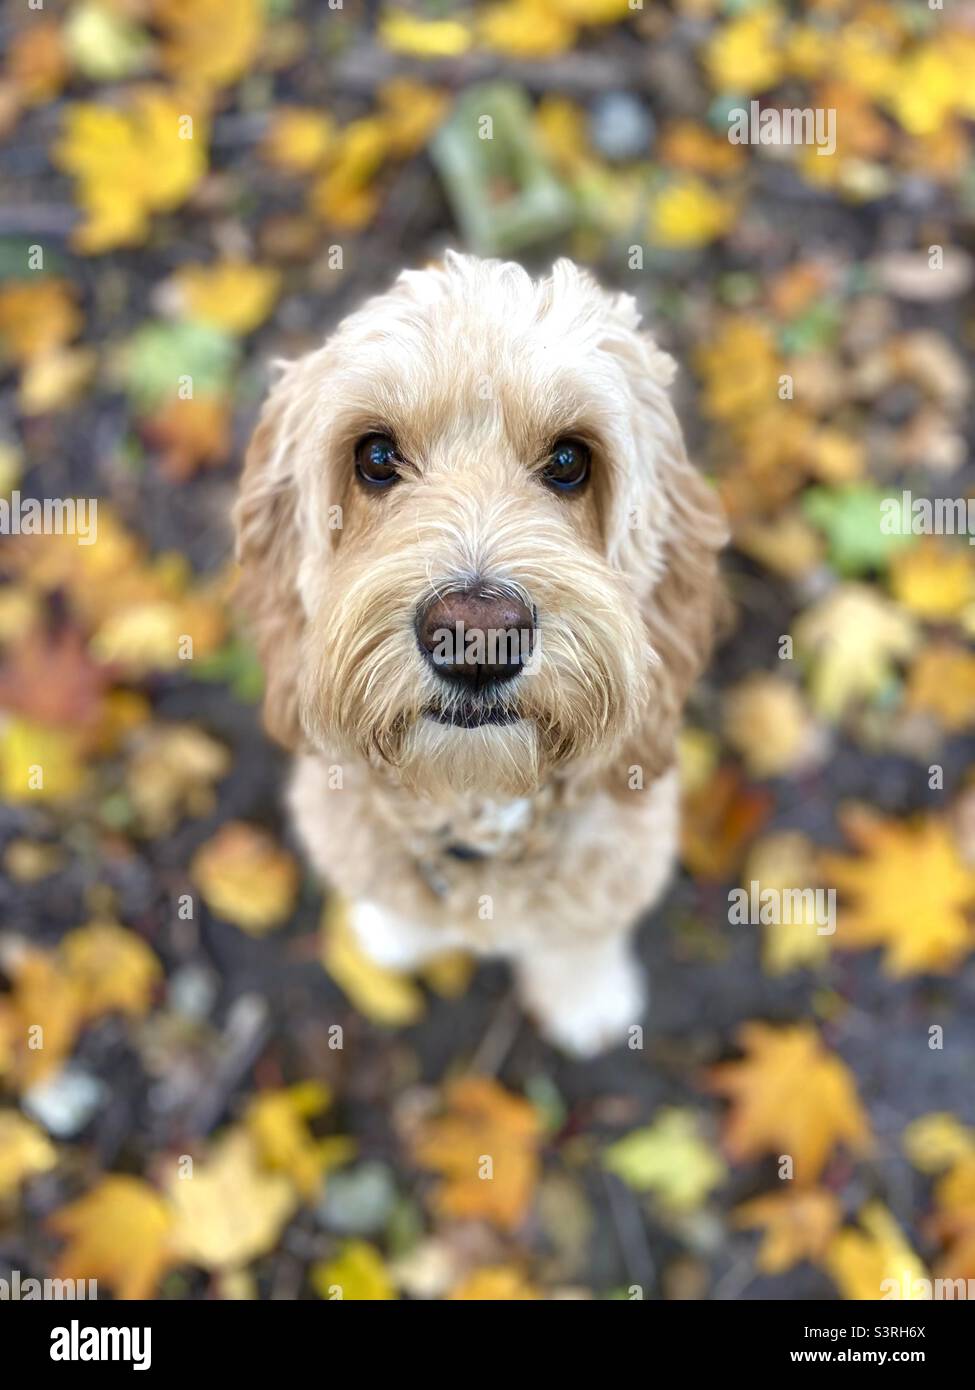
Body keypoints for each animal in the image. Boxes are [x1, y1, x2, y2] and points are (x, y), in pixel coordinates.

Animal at [236, 252, 723, 1050]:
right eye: (375, 455)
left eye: (570, 459)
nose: (476, 636)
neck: (478, 807)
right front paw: (397, 935)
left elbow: (580, 933)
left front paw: (586, 997)